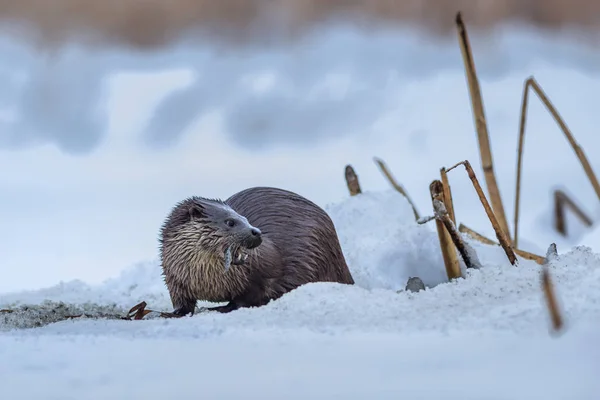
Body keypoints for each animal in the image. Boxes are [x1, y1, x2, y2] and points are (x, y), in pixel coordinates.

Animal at [161, 187, 356, 316]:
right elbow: (181, 302)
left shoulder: (260, 275)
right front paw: (172, 313)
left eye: (245, 218)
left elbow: (248, 297)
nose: (257, 232)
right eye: (230, 222)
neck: (205, 277)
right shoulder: (174, 277)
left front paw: (222, 308)